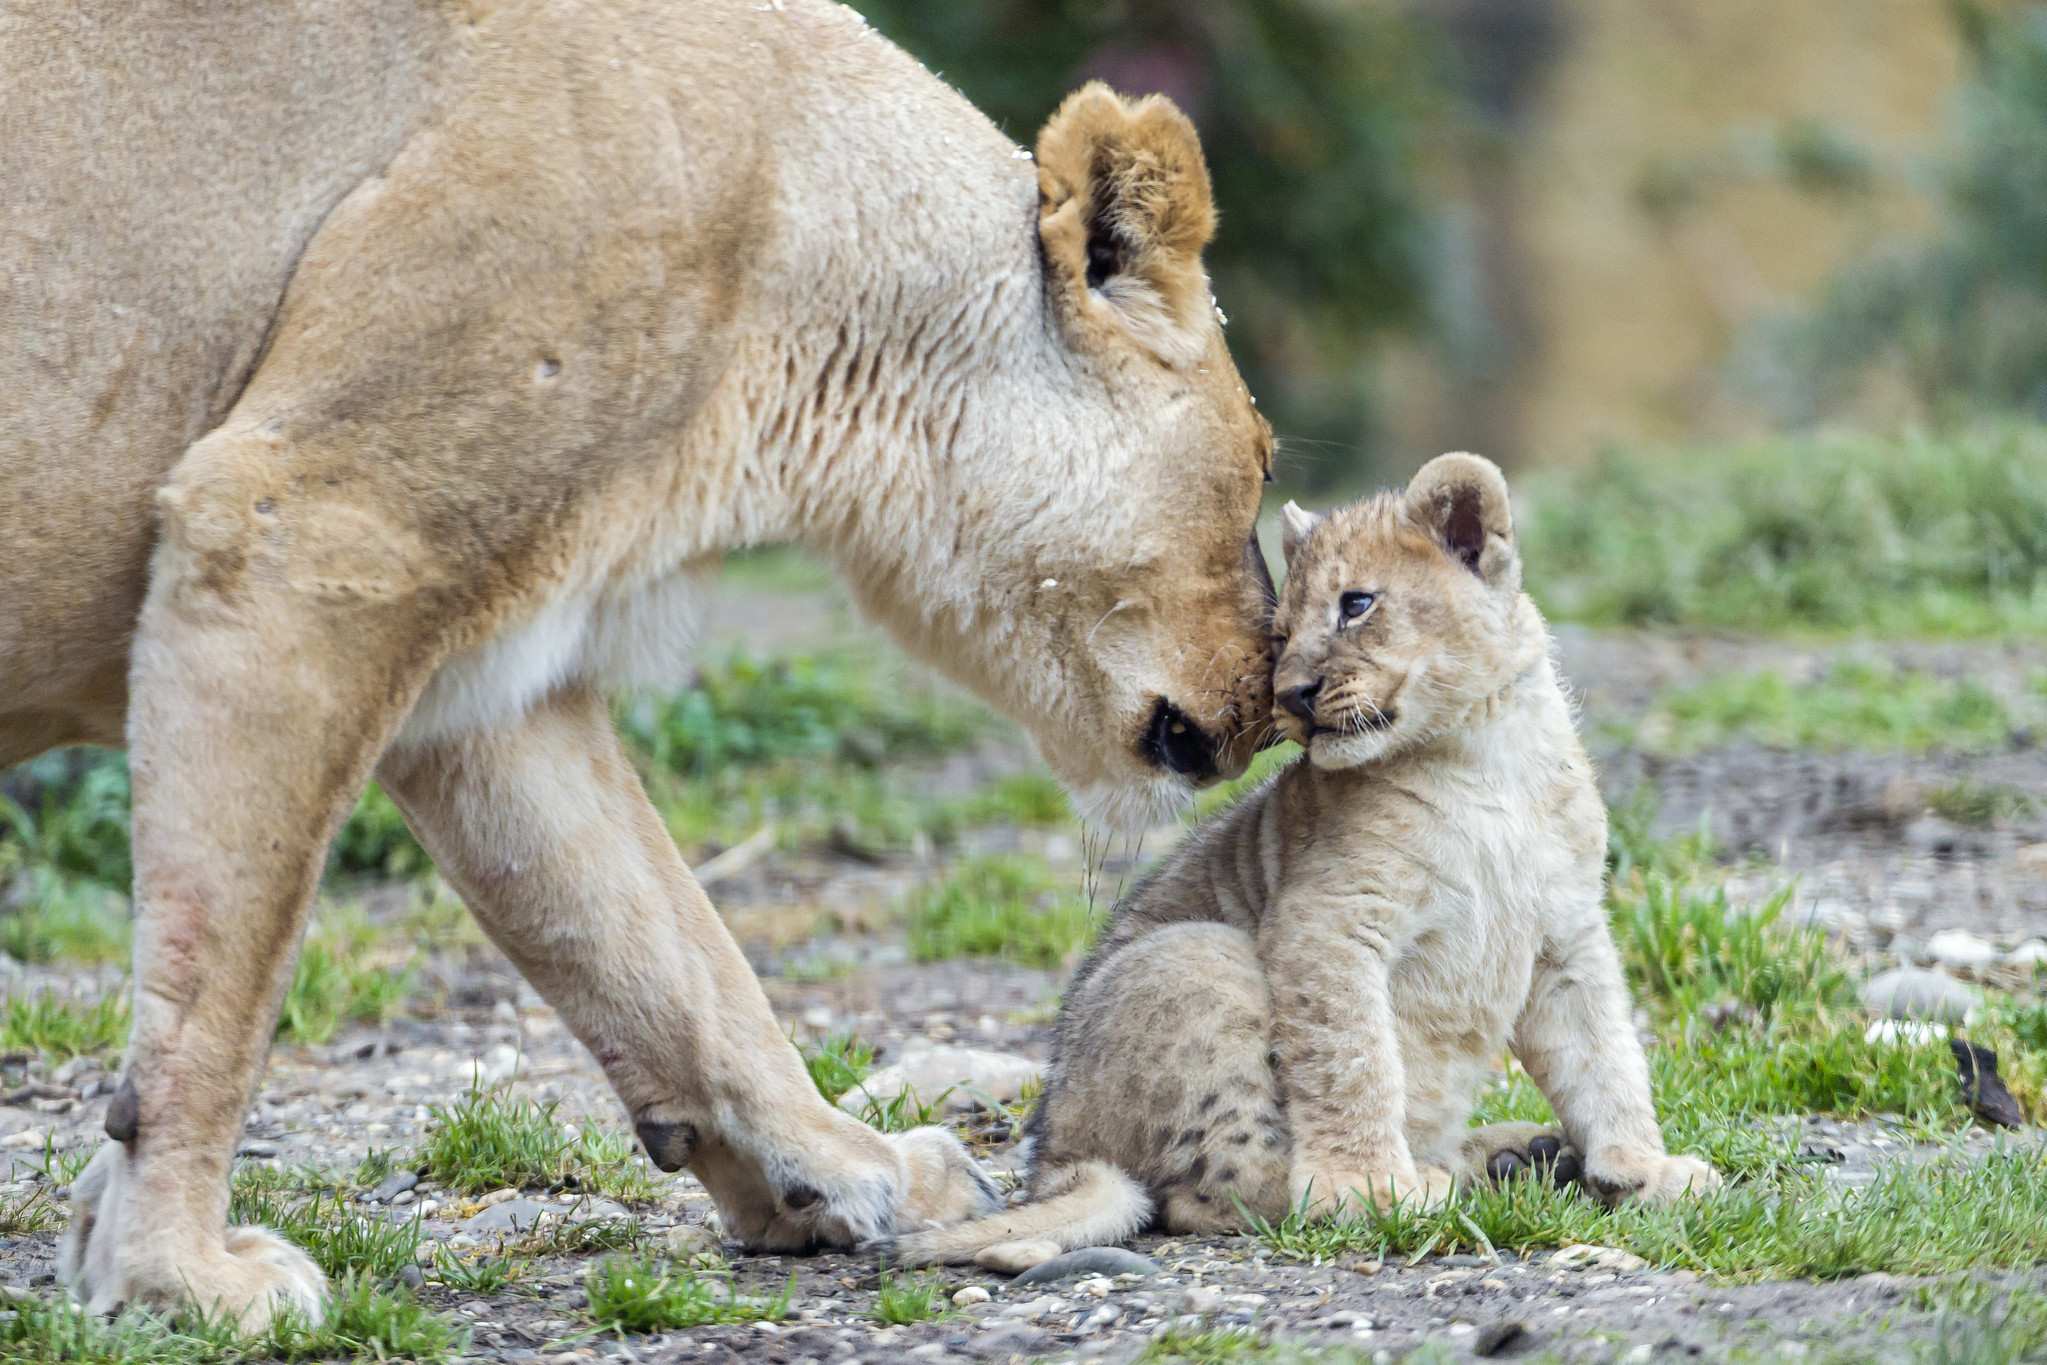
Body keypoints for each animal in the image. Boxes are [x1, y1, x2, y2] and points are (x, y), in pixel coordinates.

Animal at [1, 0, 1277, 1328]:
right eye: (1264, 464)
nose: (1269, 704)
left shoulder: (488, 678)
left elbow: (667, 951)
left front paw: (847, 1172)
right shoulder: (298, 532)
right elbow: (221, 990)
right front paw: (173, 1277)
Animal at [891, 454, 1719, 1266]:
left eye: (1356, 604)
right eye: (1280, 633)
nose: (1290, 694)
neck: (1484, 755)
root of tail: (1059, 1154)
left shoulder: (1566, 931)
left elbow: (1604, 1054)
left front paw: (1643, 1168)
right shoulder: (1330, 922)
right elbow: (1352, 1062)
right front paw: (1366, 1187)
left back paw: (1518, 1154)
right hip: (1198, 954)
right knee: (1207, 1195)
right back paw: (1435, 1181)